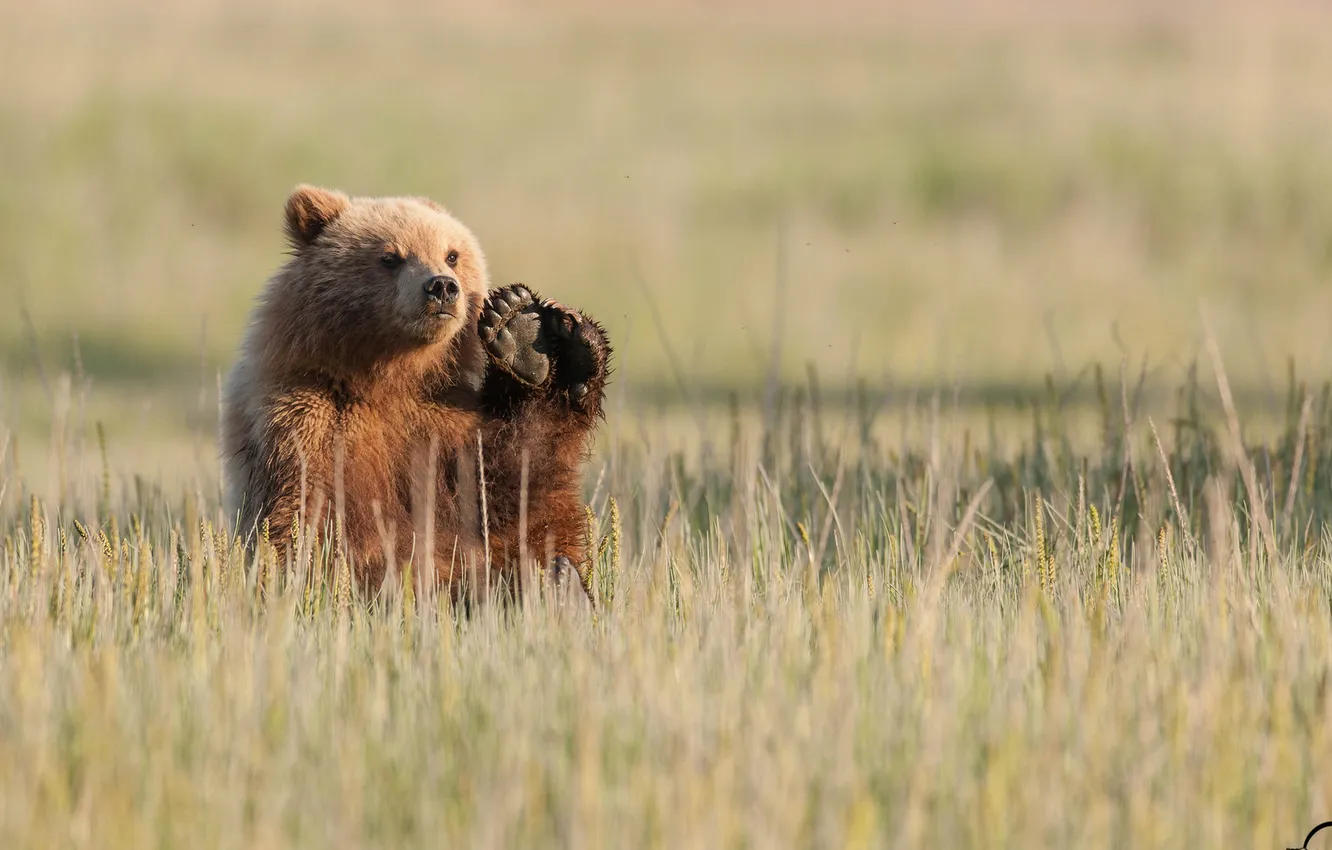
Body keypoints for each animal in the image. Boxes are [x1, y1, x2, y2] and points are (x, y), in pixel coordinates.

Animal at [220, 184, 610, 599]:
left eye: (451, 254)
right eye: (390, 257)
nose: (441, 286)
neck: (387, 377)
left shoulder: (443, 426)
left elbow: (509, 487)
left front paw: (521, 329)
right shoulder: (309, 422)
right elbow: (313, 521)